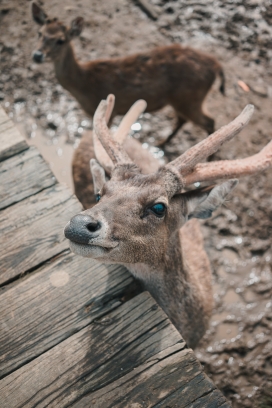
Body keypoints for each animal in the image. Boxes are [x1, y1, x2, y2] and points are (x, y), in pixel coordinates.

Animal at [30, 1, 225, 147]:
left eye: (60, 40)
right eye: (39, 33)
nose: (37, 55)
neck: (84, 84)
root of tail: (215, 65)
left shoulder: (109, 112)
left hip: (191, 98)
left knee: (209, 121)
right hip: (182, 99)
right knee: (183, 119)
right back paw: (161, 143)